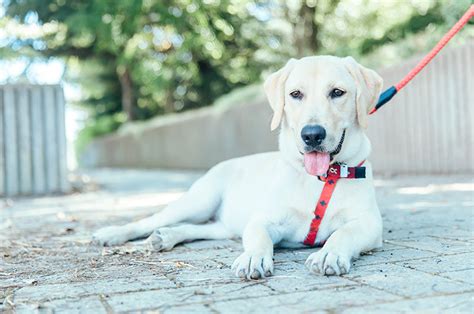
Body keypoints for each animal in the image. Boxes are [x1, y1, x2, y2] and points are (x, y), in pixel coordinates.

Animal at [93, 55, 386, 280]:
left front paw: (329, 253)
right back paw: (113, 233)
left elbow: (345, 232)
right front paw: (253, 258)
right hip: (200, 200)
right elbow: (259, 239)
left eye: (337, 92)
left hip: (224, 222)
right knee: (150, 220)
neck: (320, 179)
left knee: (203, 229)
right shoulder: (262, 220)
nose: (312, 134)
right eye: (295, 94)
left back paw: (166, 237)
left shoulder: (369, 223)